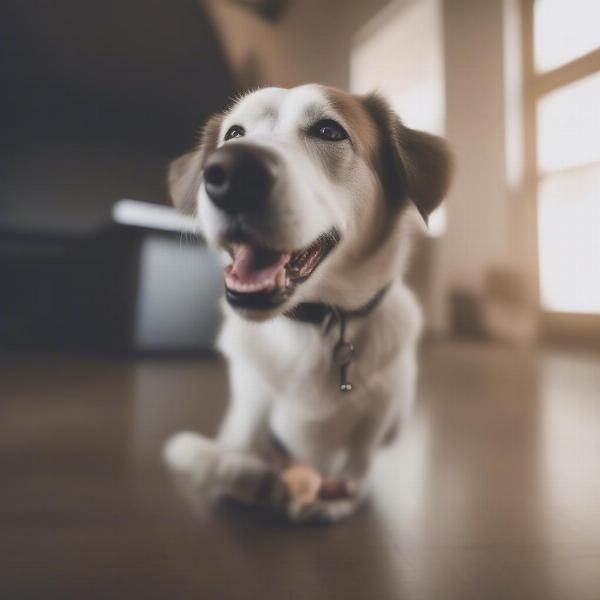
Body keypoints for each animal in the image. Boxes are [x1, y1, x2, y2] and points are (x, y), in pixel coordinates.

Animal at [163, 83, 450, 520]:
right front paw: (241, 473)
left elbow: (360, 454)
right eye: (233, 134)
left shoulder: (384, 409)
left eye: (329, 131)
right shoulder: (249, 400)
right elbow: (233, 447)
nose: (230, 172)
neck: (316, 324)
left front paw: (339, 496)